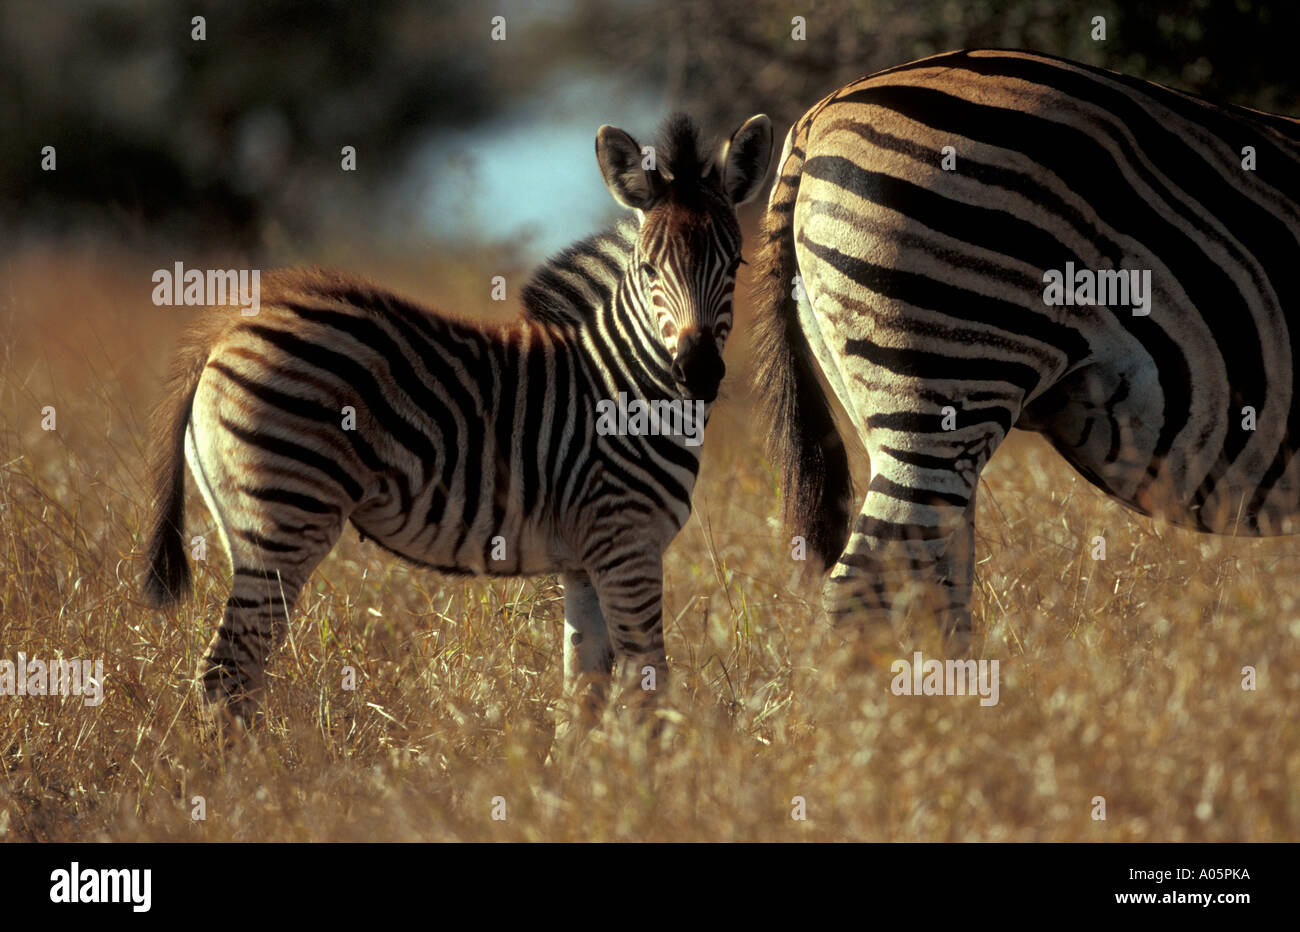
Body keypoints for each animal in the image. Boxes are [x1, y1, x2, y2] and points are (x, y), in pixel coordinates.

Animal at [143, 112, 774, 727]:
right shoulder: (628, 544)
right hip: (286, 515)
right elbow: (649, 691)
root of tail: (227, 324)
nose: (699, 373)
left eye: (735, 264)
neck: (625, 381)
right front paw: (653, 765)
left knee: (233, 673)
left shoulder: (586, 561)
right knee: (228, 672)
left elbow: (583, 695)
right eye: (648, 269)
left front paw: (574, 764)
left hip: (248, 522)